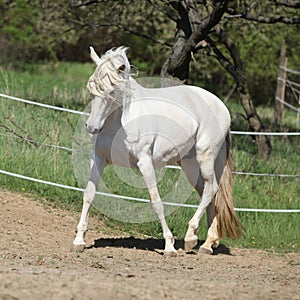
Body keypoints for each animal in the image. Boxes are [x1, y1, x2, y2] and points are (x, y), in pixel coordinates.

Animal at [74, 46, 243, 255]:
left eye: (112, 90)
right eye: (91, 87)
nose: (92, 127)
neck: (122, 120)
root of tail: (221, 105)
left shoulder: (144, 163)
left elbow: (156, 202)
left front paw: (169, 246)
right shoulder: (98, 158)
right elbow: (89, 195)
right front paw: (79, 240)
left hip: (205, 155)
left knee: (210, 189)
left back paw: (191, 237)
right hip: (189, 164)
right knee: (209, 193)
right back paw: (206, 244)